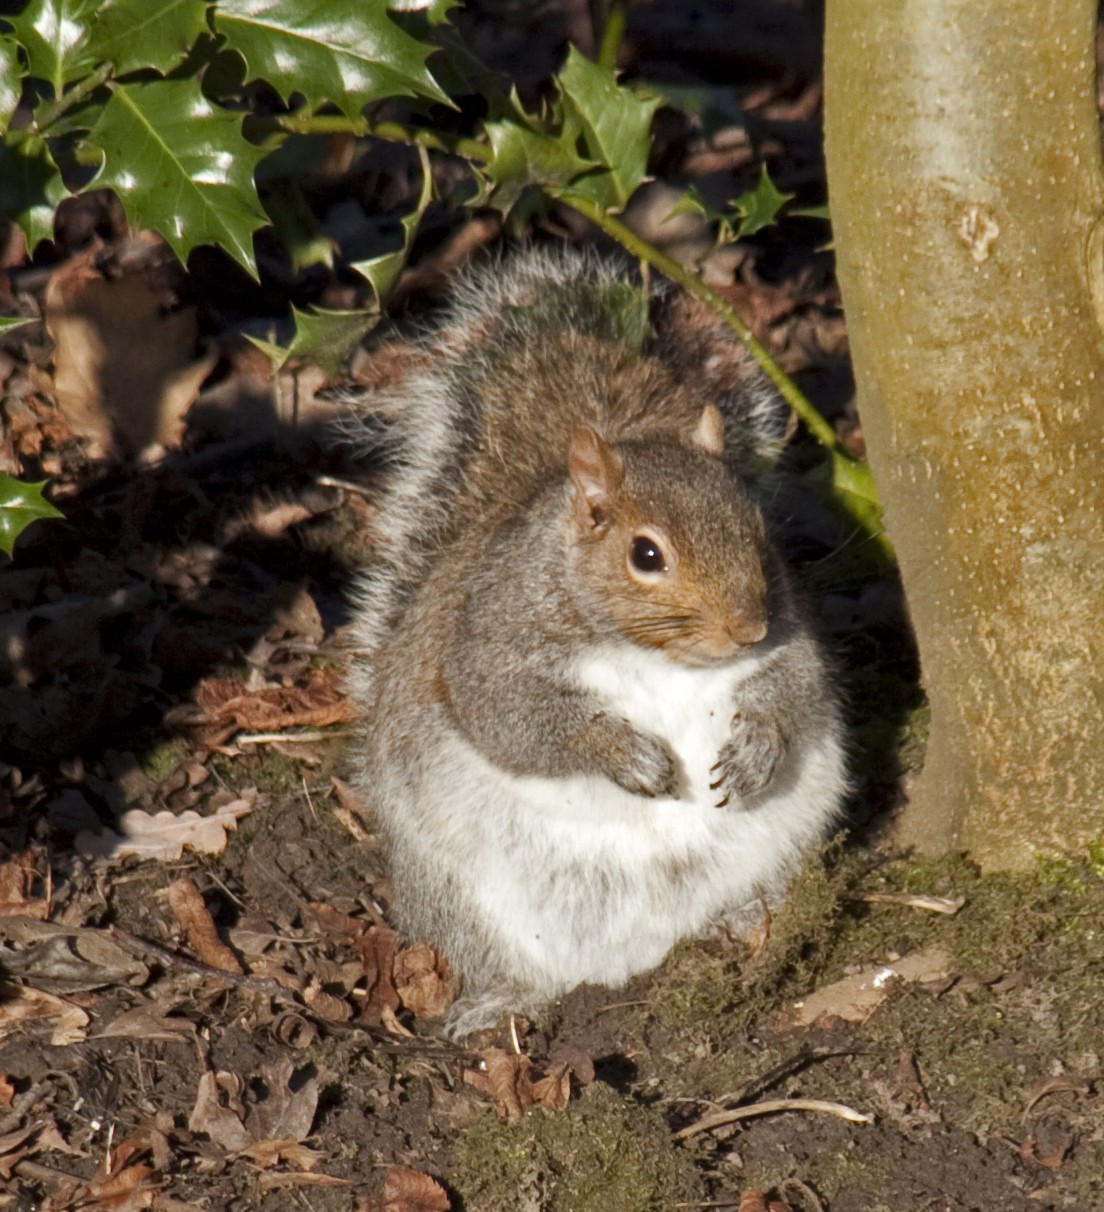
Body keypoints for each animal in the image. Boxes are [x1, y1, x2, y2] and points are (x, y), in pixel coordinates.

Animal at [349, 246, 846, 1037]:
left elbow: (795, 685)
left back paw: (746, 923)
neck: (650, 654)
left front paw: (758, 748)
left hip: (781, 843)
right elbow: (514, 719)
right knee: (511, 965)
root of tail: (624, 965)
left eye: (758, 529)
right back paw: (507, 999)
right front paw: (623, 754)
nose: (747, 627)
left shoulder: (788, 636)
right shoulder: (488, 641)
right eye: (646, 555)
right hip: (462, 898)